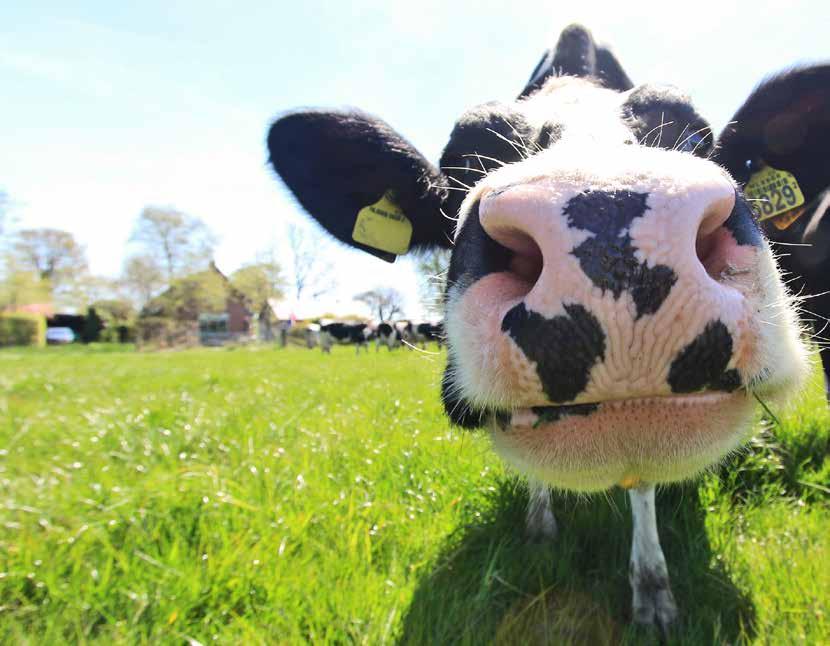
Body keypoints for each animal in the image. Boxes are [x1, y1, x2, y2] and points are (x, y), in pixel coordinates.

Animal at [268, 25, 820, 632]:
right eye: (461, 160)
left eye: (697, 133)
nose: (609, 225)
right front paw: (539, 527)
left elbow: (644, 483)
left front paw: (653, 592)